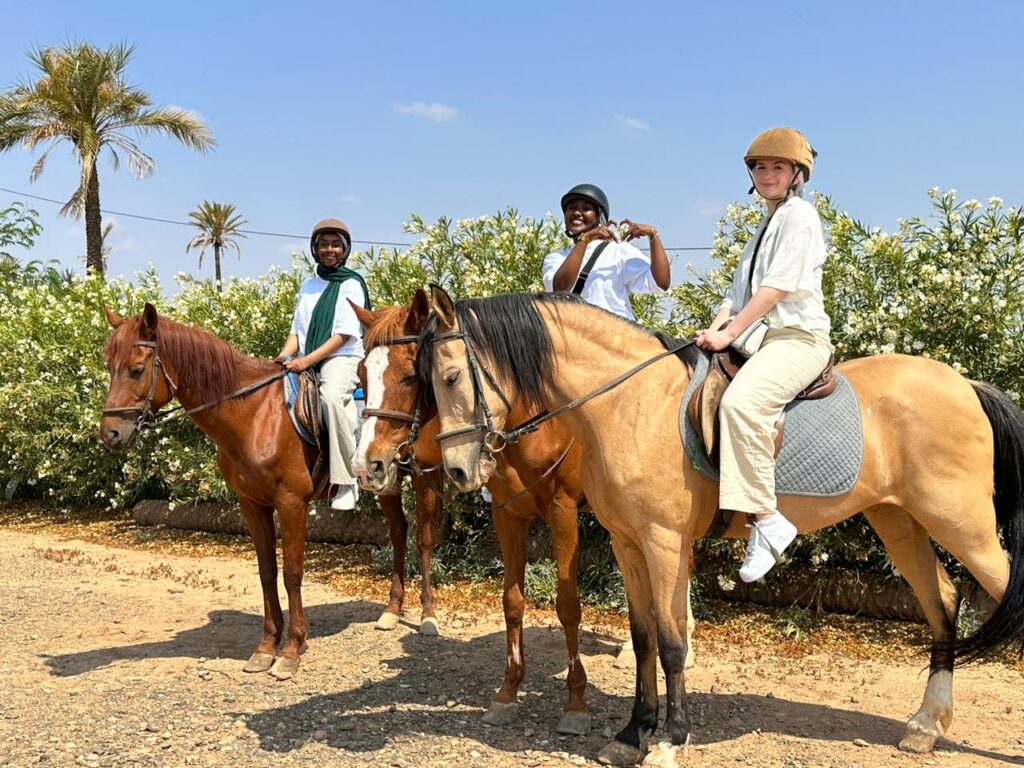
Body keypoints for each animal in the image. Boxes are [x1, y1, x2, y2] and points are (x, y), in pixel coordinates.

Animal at [96, 305, 444, 679]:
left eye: (137, 369)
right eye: (109, 367)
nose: (110, 434)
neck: (256, 415)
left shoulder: (291, 503)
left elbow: (292, 574)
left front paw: (291, 649)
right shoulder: (252, 505)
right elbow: (266, 573)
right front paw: (266, 647)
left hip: (422, 477)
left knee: (424, 538)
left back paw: (427, 616)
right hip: (383, 480)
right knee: (398, 532)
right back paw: (391, 610)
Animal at [417, 288, 1024, 768]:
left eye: (450, 377)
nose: (458, 471)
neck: (630, 402)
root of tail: (965, 384)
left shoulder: (663, 542)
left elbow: (671, 642)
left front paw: (669, 741)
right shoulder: (627, 544)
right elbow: (642, 638)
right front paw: (631, 734)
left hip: (963, 525)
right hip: (899, 521)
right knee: (943, 601)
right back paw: (924, 726)